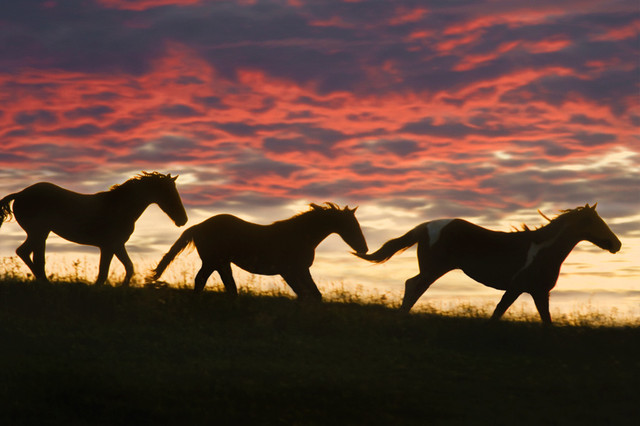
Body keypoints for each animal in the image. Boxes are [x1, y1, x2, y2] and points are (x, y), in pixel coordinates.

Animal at [0, 172, 188, 286]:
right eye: (169, 193)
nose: (183, 220)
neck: (118, 207)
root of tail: (20, 194)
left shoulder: (116, 246)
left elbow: (127, 267)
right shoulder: (110, 246)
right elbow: (105, 273)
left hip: (41, 233)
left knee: (30, 255)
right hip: (38, 232)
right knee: (29, 254)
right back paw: (45, 282)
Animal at [151, 202, 368, 300]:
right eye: (351, 226)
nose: (364, 249)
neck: (299, 235)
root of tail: (199, 226)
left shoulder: (299, 271)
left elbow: (313, 295)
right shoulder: (291, 271)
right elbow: (306, 294)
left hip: (220, 263)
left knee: (226, 285)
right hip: (214, 261)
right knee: (203, 281)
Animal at [356, 205, 620, 324]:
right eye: (598, 223)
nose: (616, 244)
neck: (543, 249)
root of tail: (427, 226)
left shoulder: (539, 292)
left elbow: (546, 321)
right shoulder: (517, 288)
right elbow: (498, 312)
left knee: (414, 287)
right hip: (433, 269)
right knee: (413, 285)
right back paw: (402, 316)